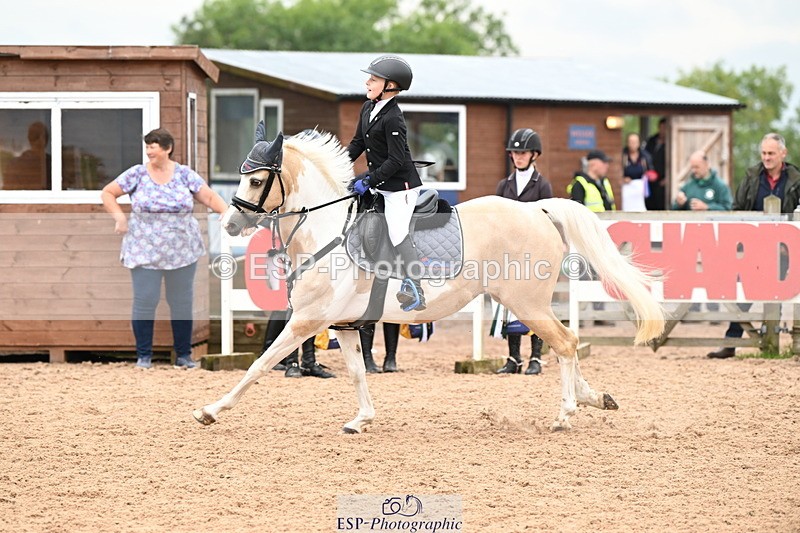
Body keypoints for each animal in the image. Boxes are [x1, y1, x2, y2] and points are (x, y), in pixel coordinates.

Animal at [194, 129, 666, 432]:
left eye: (257, 179)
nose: (231, 223)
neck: (326, 228)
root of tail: (536, 209)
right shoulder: (342, 324)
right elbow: (357, 372)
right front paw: (361, 420)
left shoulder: (306, 320)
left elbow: (259, 365)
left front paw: (212, 410)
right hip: (527, 304)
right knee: (568, 344)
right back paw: (593, 398)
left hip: (527, 304)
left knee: (565, 344)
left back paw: (565, 414)